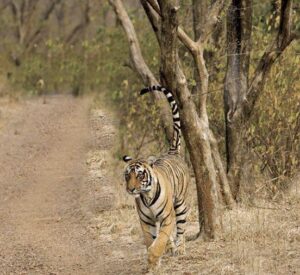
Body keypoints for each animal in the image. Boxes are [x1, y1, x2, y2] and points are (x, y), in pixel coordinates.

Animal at [122, 85, 190, 270]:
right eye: (127, 175)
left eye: (139, 174)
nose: (131, 189)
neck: (146, 196)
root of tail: (172, 152)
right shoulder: (146, 221)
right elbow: (150, 240)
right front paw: (153, 262)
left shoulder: (167, 217)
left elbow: (160, 240)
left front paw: (154, 258)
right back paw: (172, 248)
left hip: (180, 204)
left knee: (181, 229)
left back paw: (180, 249)